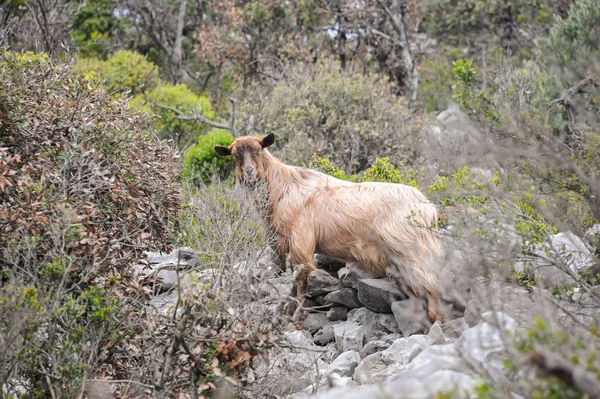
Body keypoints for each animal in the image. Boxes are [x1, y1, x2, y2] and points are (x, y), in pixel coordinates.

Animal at [216, 134, 446, 324]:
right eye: (235, 155)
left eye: (258, 150)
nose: (249, 172)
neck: (284, 188)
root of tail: (427, 207)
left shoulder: (301, 243)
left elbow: (300, 280)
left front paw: (297, 315)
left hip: (412, 251)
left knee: (432, 285)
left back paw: (437, 321)